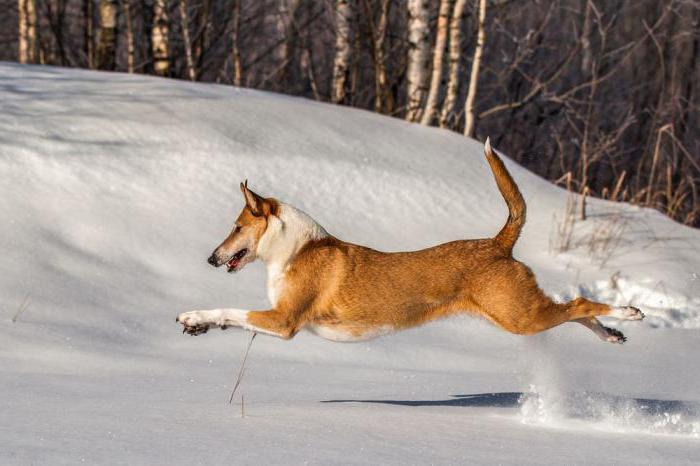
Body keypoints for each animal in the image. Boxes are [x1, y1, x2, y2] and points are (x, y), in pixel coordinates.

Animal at [176, 138, 644, 342]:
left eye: (236, 226)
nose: (211, 258)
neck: (293, 250)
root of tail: (498, 242)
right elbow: (230, 317)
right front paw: (199, 324)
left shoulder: (284, 320)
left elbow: (232, 309)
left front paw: (194, 314)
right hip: (516, 314)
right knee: (572, 310)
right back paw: (611, 334)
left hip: (520, 316)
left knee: (578, 304)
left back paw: (627, 313)